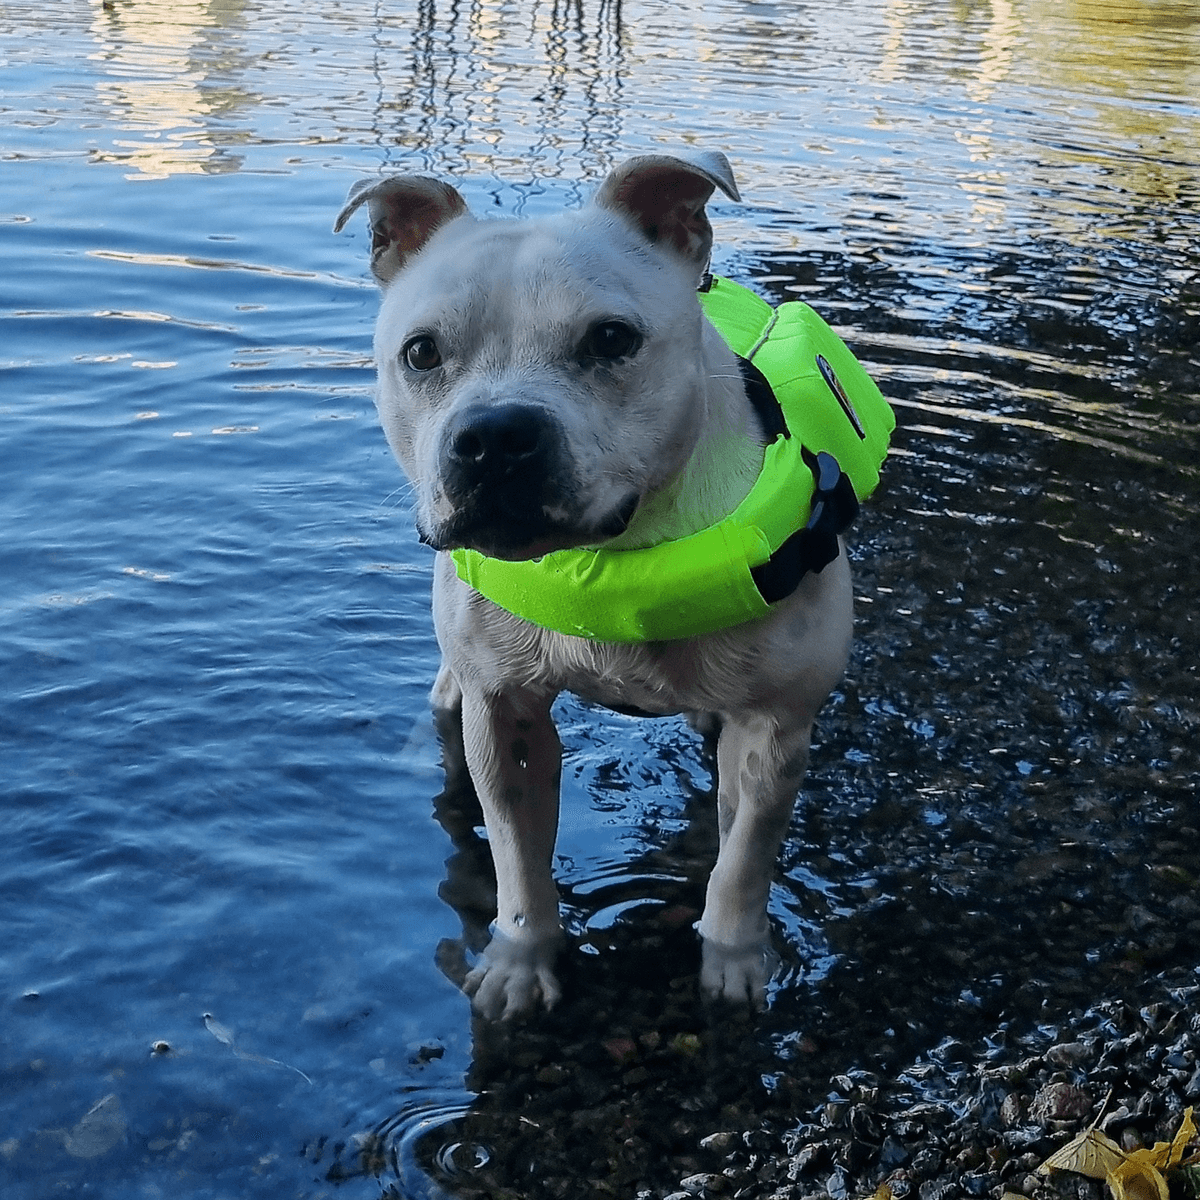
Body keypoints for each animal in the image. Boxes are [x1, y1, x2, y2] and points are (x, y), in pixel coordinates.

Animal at [338, 154, 892, 1022]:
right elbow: (518, 858)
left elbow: (745, 858)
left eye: (611, 339)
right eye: (421, 353)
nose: (496, 436)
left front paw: (734, 961)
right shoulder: (506, 719)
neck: (612, 555)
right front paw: (520, 960)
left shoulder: (773, 728)